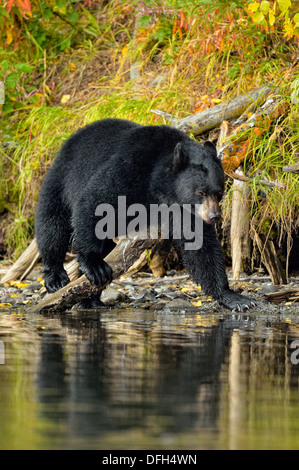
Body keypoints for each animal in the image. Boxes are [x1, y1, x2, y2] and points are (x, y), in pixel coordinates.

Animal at [34, 117, 255, 310]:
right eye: (200, 192)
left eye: (218, 192)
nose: (213, 217)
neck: (158, 181)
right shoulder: (131, 167)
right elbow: (95, 201)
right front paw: (94, 264)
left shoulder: (184, 209)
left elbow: (201, 246)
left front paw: (234, 297)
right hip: (61, 180)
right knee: (52, 226)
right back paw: (55, 277)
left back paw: (91, 299)